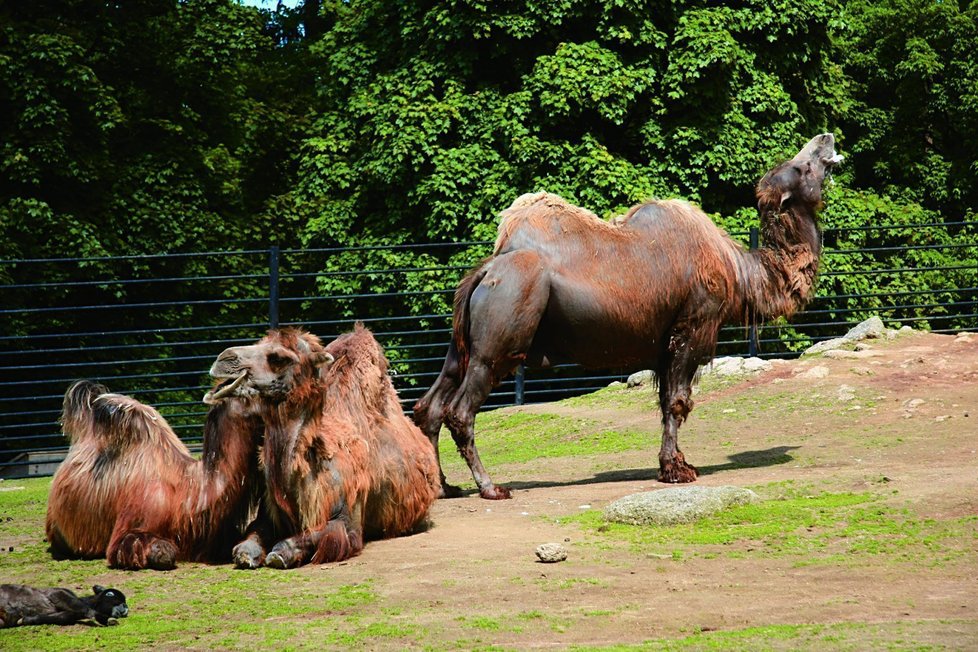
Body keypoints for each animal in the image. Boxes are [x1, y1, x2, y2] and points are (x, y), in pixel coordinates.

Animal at [208, 324, 440, 568]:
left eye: (279, 358)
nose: (224, 358)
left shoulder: (347, 519)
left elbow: (313, 537)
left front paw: (282, 554)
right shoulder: (268, 514)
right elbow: (246, 543)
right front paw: (247, 554)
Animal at [412, 132, 840, 500]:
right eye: (801, 167)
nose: (826, 137)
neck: (739, 273)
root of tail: (486, 271)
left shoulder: (664, 344)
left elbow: (666, 403)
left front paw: (671, 466)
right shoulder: (693, 328)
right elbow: (679, 402)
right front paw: (679, 472)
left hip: (462, 345)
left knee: (430, 404)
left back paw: (442, 486)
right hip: (498, 341)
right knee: (460, 411)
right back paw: (491, 487)